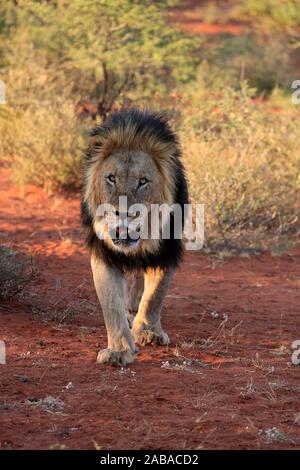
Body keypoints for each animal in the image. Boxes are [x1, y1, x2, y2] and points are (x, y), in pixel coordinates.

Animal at [81, 108, 189, 366]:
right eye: (111, 178)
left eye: (143, 181)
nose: (123, 214)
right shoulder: (104, 254)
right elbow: (111, 304)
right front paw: (119, 350)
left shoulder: (166, 250)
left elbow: (155, 295)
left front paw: (149, 331)